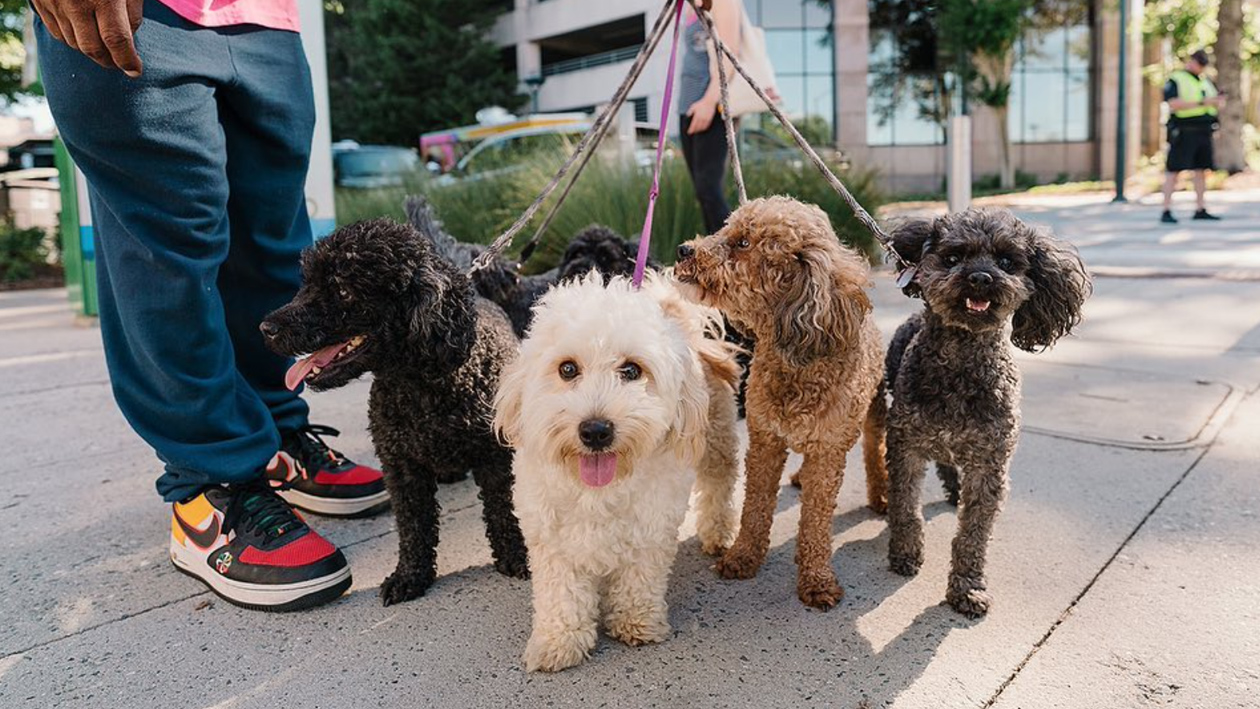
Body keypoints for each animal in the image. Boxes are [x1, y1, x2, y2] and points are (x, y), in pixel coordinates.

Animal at [260, 217, 526, 604]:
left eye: (343, 289)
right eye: (307, 282)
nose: (266, 328)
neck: (423, 386)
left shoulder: (494, 457)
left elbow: (504, 509)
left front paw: (516, 555)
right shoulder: (401, 465)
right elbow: (413, 525)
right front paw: (410, 576)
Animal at [493, 274, 735, 674]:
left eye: (632, 370)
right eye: (567, 369)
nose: (595, 431)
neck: (598, 489)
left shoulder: (651, 530)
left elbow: (639, 578)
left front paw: (635, 621)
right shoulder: (552, 542)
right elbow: (561, 595)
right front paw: (559, 642)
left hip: (716, 444)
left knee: (719, 486)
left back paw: (717, 534)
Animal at [882, 207, 1088, 619]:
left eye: (1007, 261)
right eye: (952, 257)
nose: (980, 277)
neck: (960, 362)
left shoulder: (989, 465)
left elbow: (973, 535)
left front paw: (967, 588)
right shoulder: (905, 446)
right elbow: (905, 506)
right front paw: (905, 553)